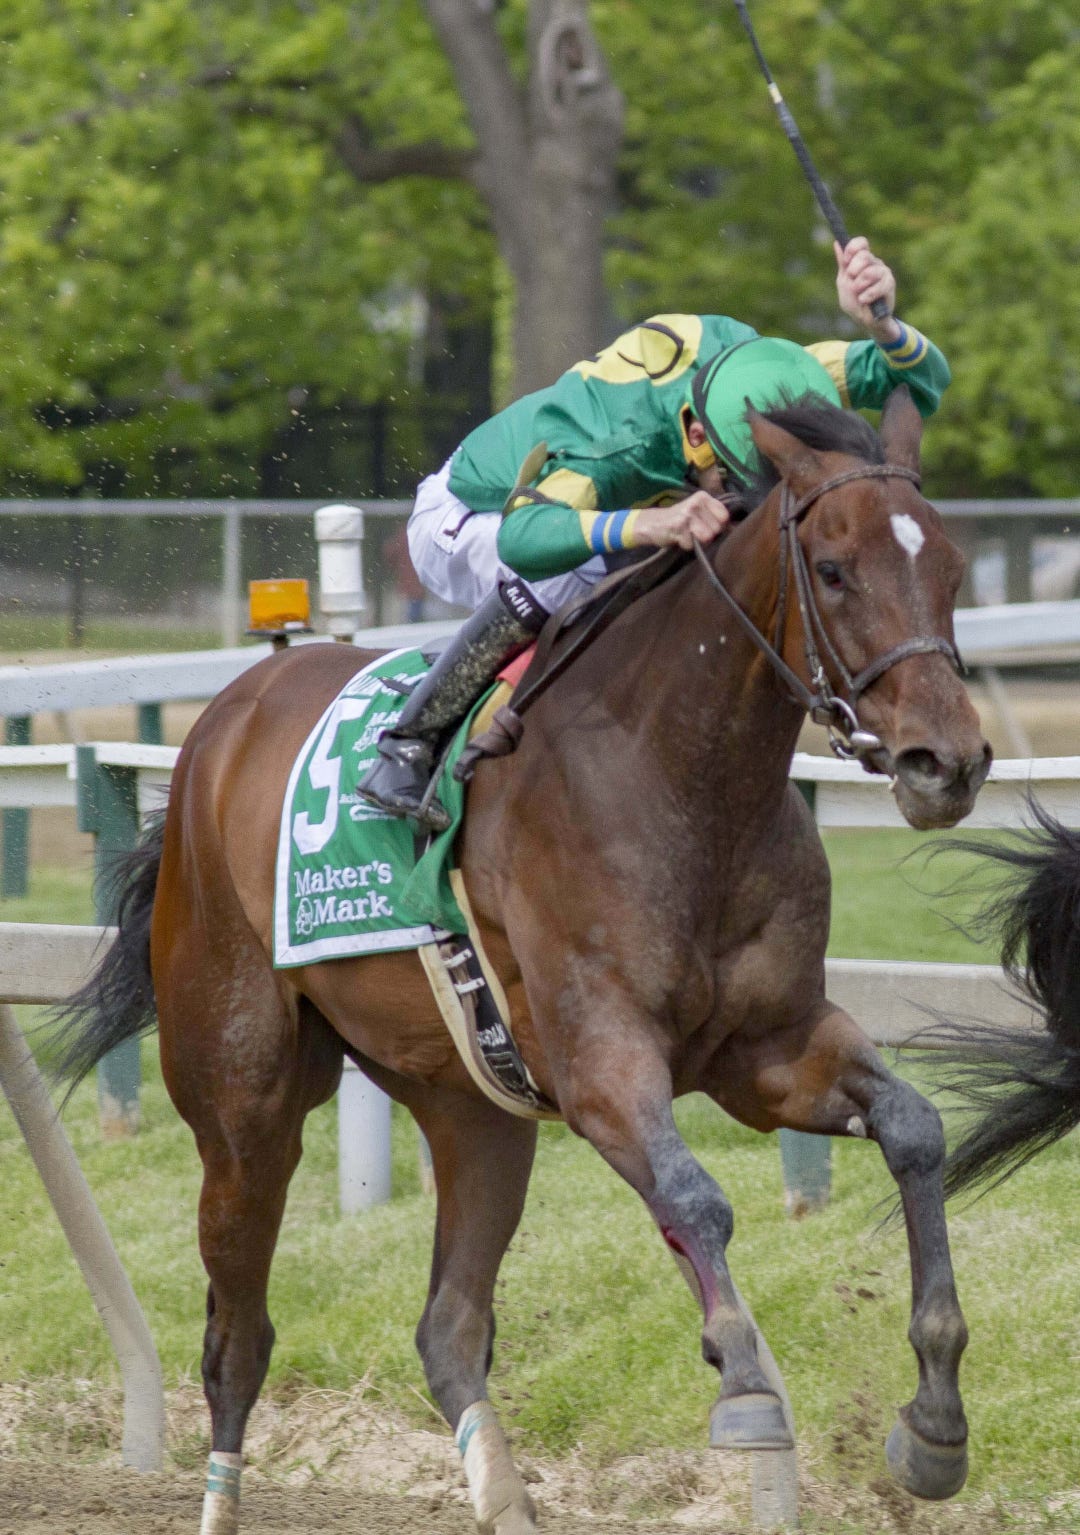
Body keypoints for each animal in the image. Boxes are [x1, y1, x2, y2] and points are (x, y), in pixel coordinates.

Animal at [55, 386, 991, 1535]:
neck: (679, 774)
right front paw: (745, 1387)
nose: (947, 761)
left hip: (473, 1105)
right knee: (238, 1340)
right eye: (833, 568)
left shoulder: (768, 1048)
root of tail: (223, 720)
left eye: (952, 567)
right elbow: (697, 1199)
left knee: (448, 1329)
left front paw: (935, 1421)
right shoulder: (600, 1064)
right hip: (244, 1104)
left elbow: (914, 1126)